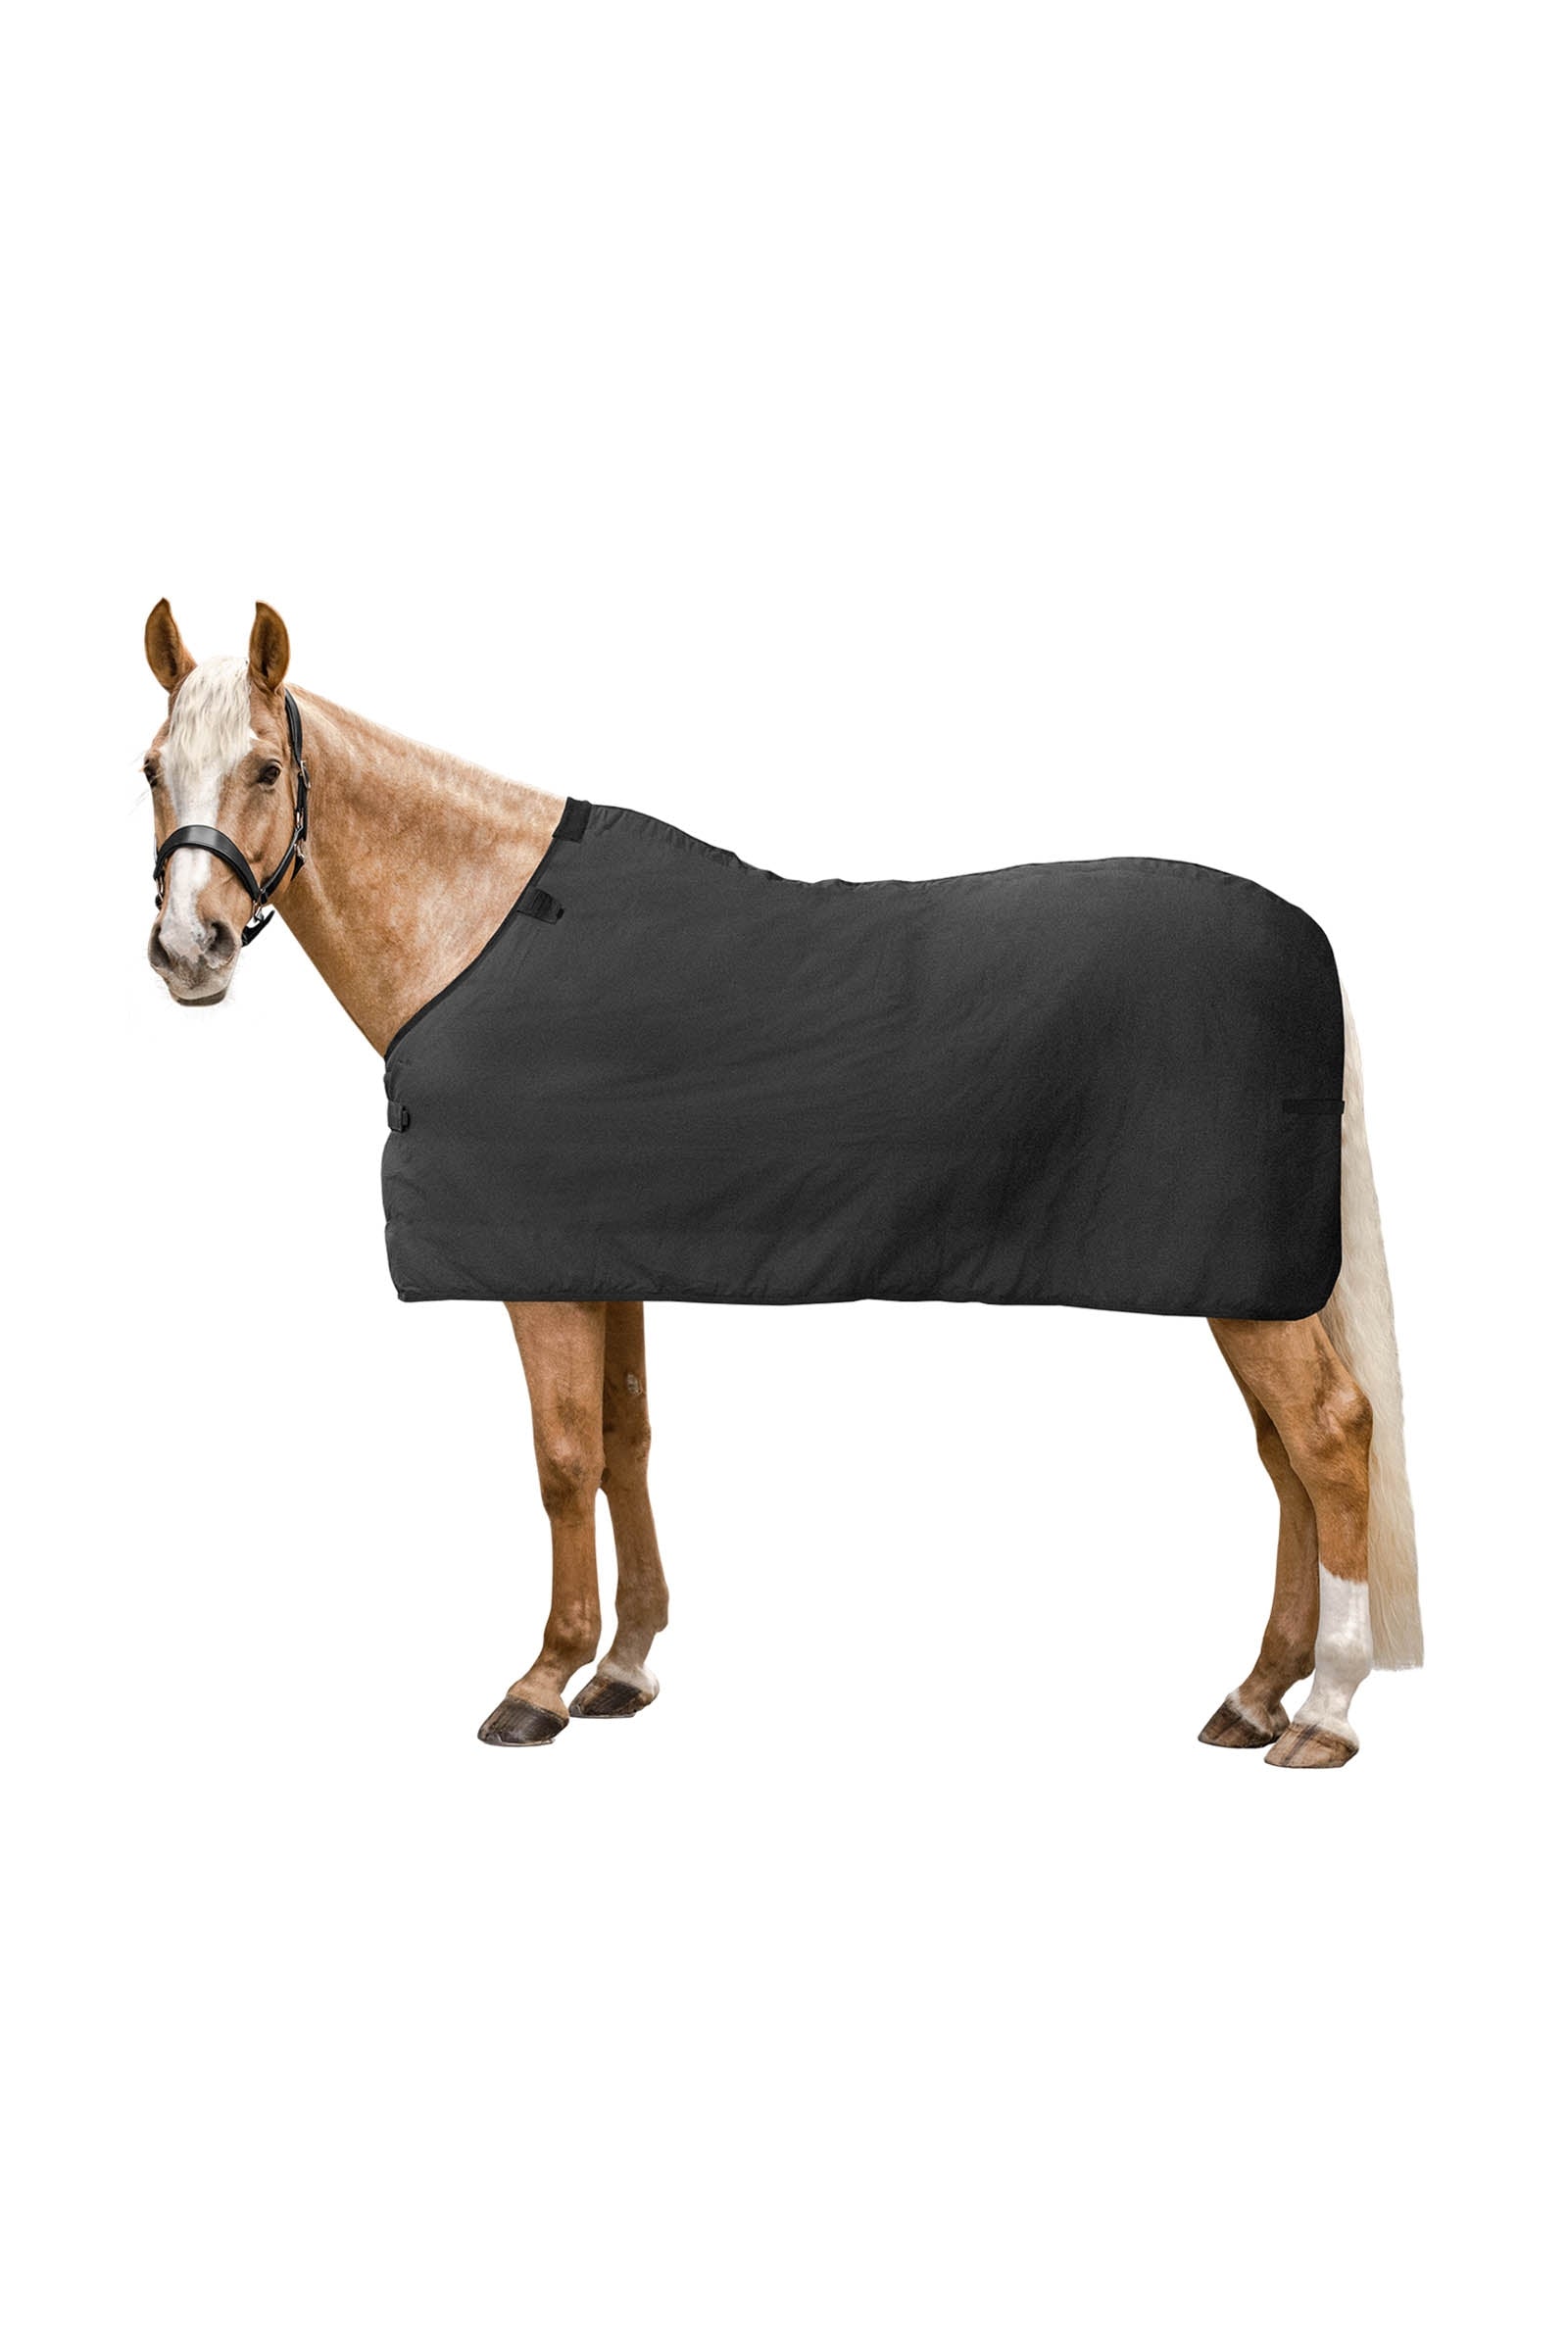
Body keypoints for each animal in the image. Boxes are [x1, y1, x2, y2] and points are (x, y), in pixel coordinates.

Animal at [140, 598, 1421, 1766]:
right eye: (152, 768)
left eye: (264, 768)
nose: (187, 951)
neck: (482, 929)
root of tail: (1307, 943)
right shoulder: (596, 1254)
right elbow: (626, 1438)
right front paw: (626, 1666)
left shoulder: (535, 1276)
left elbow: (562, 1460)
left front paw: (544, 1679)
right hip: (1244, 1284)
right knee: (1284, 1458)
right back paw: (1255, 1694)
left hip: (1247, 1286)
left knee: (1327, 1435)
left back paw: (1324, 1711)